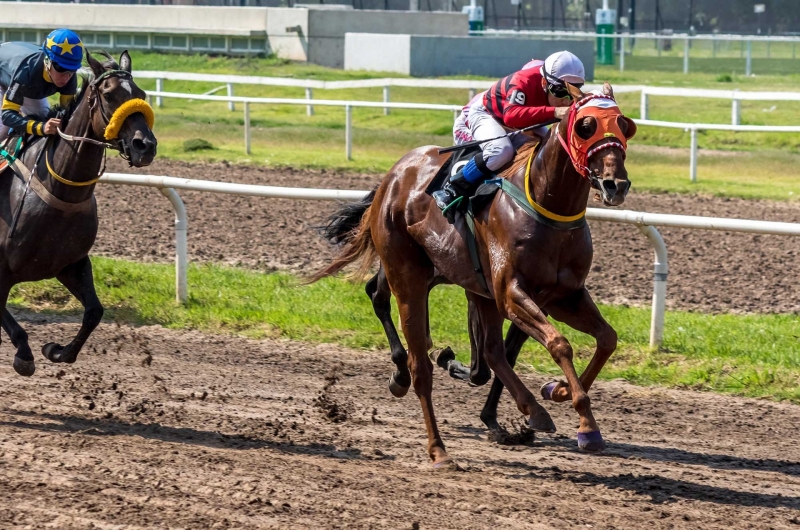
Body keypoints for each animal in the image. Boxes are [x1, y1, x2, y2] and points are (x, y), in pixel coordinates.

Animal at [0, 51, 155, 376]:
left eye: (141, 94)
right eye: (108, 95)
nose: (145, 145)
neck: (59, 193)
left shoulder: (71, 264)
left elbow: (94, 311)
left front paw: (57, 350)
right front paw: (24, 355)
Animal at [314, 84, 636, 464]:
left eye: (624, 126)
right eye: (586, 126)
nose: (616, 185)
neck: (547, 205)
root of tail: (394, 174)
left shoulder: (563, 296)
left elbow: (606, 339)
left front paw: (556, 391)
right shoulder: (510, 292)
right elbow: (559, 344)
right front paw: (585, 424)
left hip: (465, 283)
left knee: (491, 351)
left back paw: (524, 409)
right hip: (409, 271)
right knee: (398, 321)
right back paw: (431, 427)